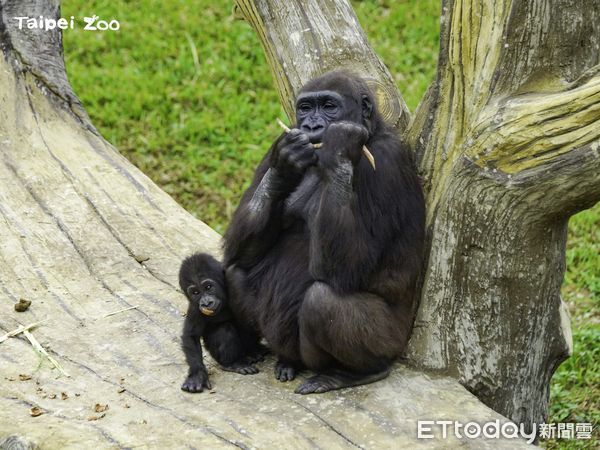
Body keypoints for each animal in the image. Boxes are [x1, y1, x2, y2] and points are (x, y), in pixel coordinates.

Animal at [178, 251, 262, 392]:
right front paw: (197, 374)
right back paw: (233, 363)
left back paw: (254, 350)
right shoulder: (195, 307)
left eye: (208, 287)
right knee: (225, 330)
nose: (206, 303)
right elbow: (191, 336)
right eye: (195, 292)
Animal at [223, 71, 424, 394]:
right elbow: (237, 247)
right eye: (305, 108)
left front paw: (340, 145)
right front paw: (285, 164)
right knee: (236, 270)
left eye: (329, 106)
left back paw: (356, 372)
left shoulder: (387, 162)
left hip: (391, 343)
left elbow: (346, 269)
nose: (311, 126)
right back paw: (281, 360)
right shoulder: (274, 147)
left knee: (323, 302)